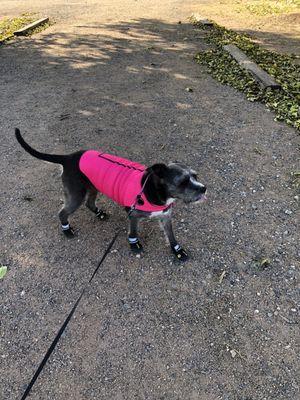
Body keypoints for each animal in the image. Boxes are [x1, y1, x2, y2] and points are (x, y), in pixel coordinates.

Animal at [15, 127, 206, 260]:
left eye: (195, 176)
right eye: (182, 182)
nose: (204, 188)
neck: (151, 189)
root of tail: (69, 158)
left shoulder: (165, 217)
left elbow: (171, 236)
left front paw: (177, 251)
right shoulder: (133, 216)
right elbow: (133, 233)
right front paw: (134, 245)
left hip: (93, 187)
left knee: (89, 203)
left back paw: (99, 213)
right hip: (76, 195)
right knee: (62, 212)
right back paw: (66, 230)